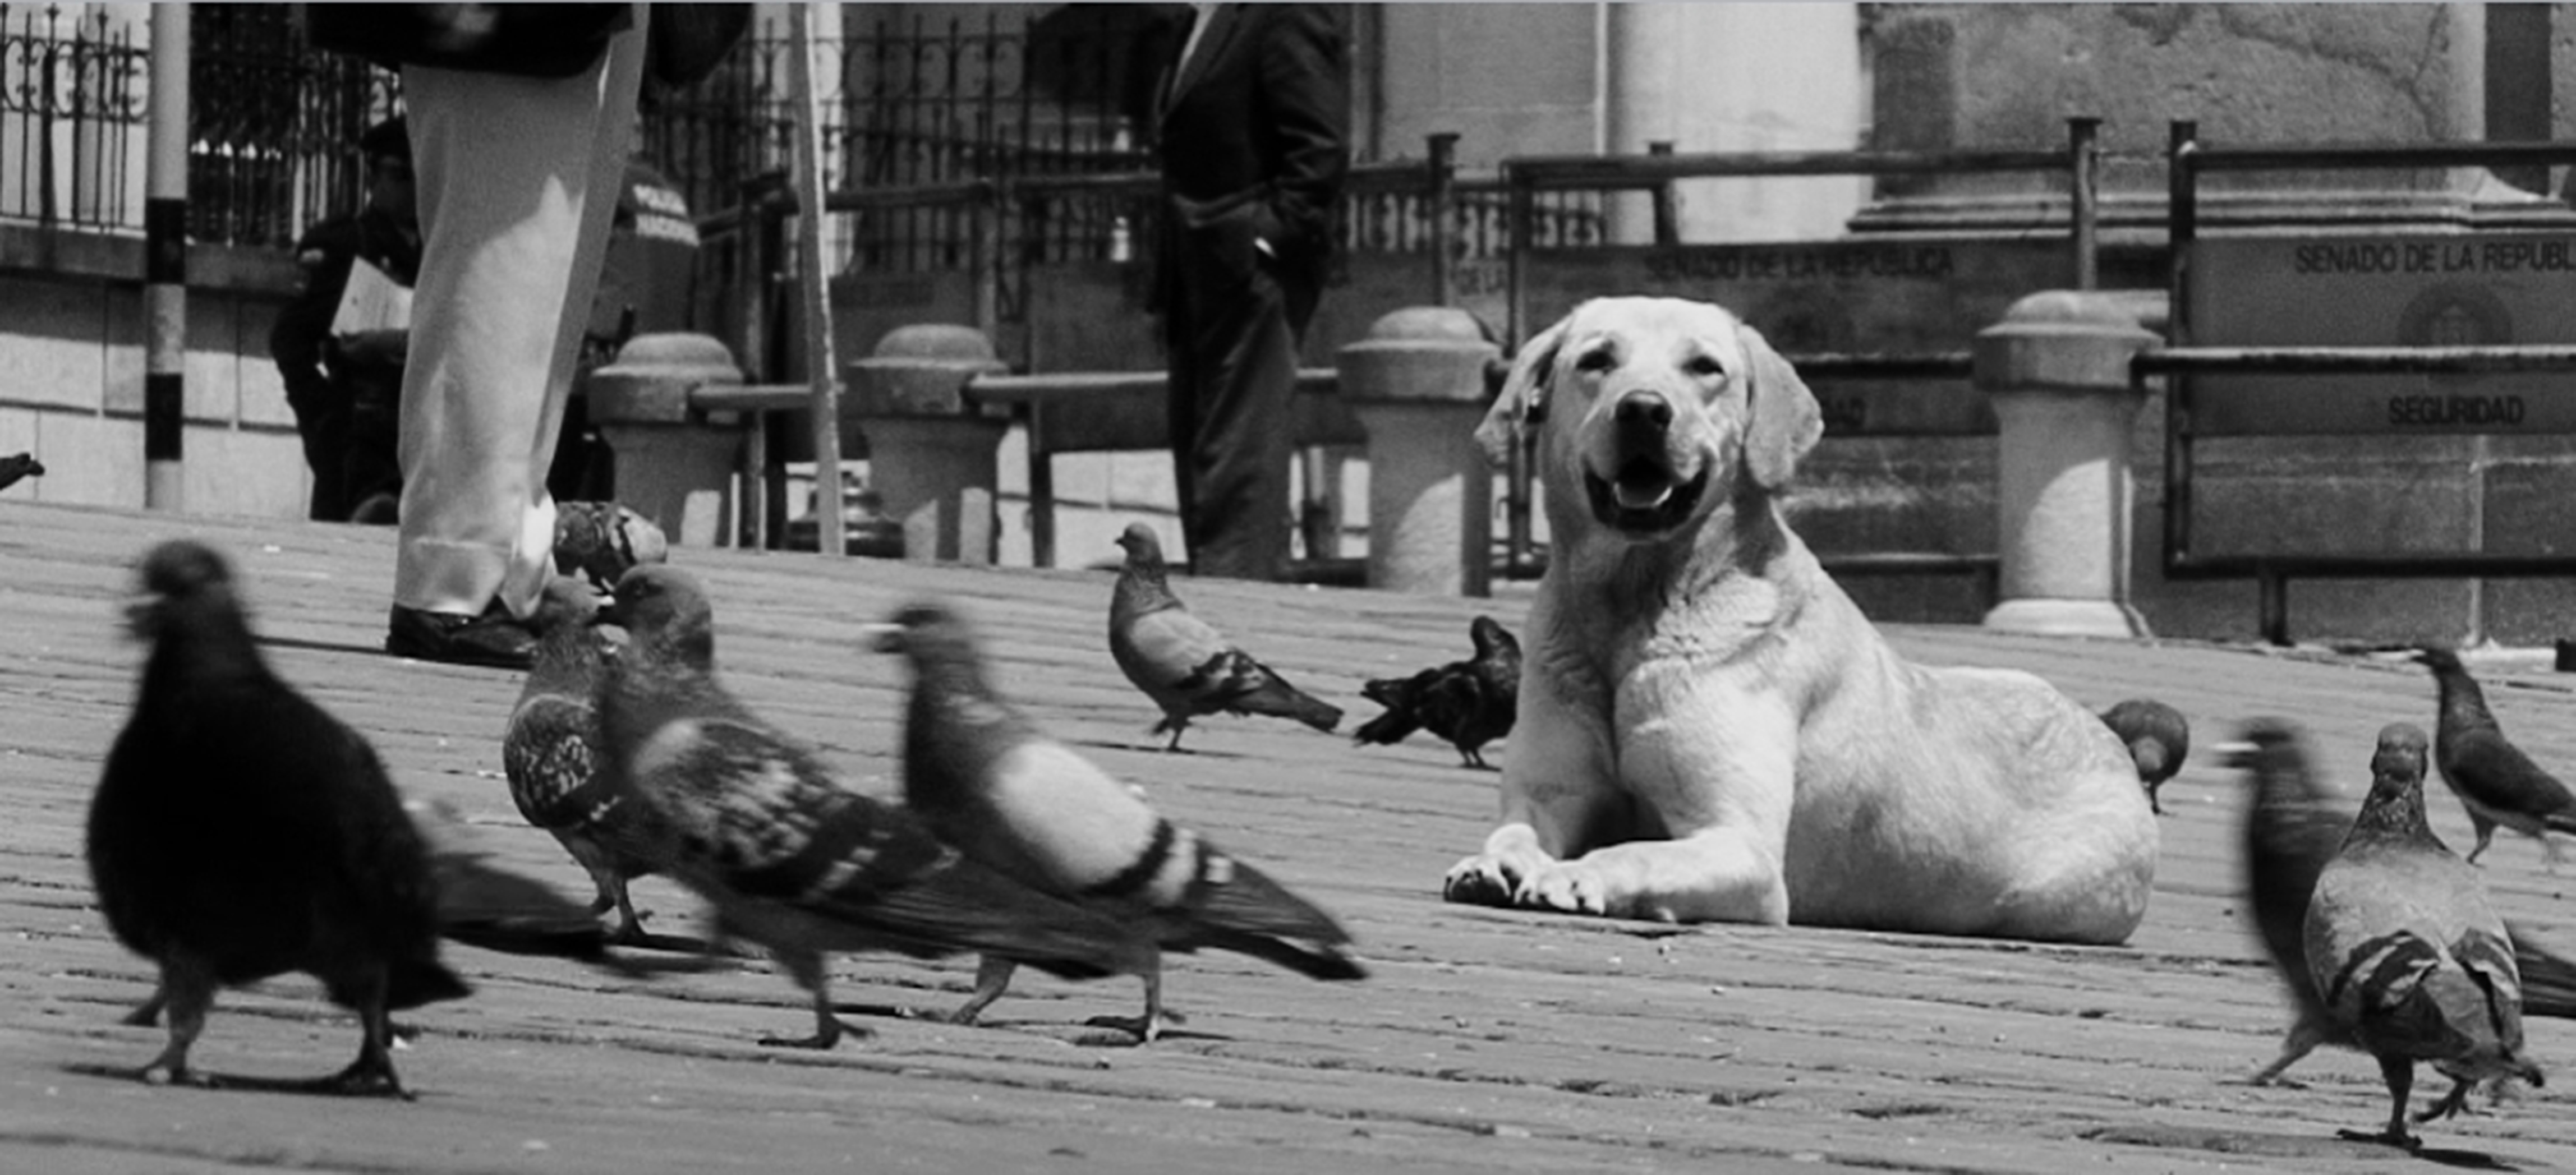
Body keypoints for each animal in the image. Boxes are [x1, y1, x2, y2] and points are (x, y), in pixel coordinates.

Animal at [1452, 296, 2153, 943]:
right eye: (1596, 360)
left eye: (1704, 367)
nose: (1644, 409)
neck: (1631, 603)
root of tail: (2112, 744)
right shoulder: (1552, 793)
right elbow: (1514, 829)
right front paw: (1495, 864)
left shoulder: (1743, 849)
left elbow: (1637, 851)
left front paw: (1579, 873)